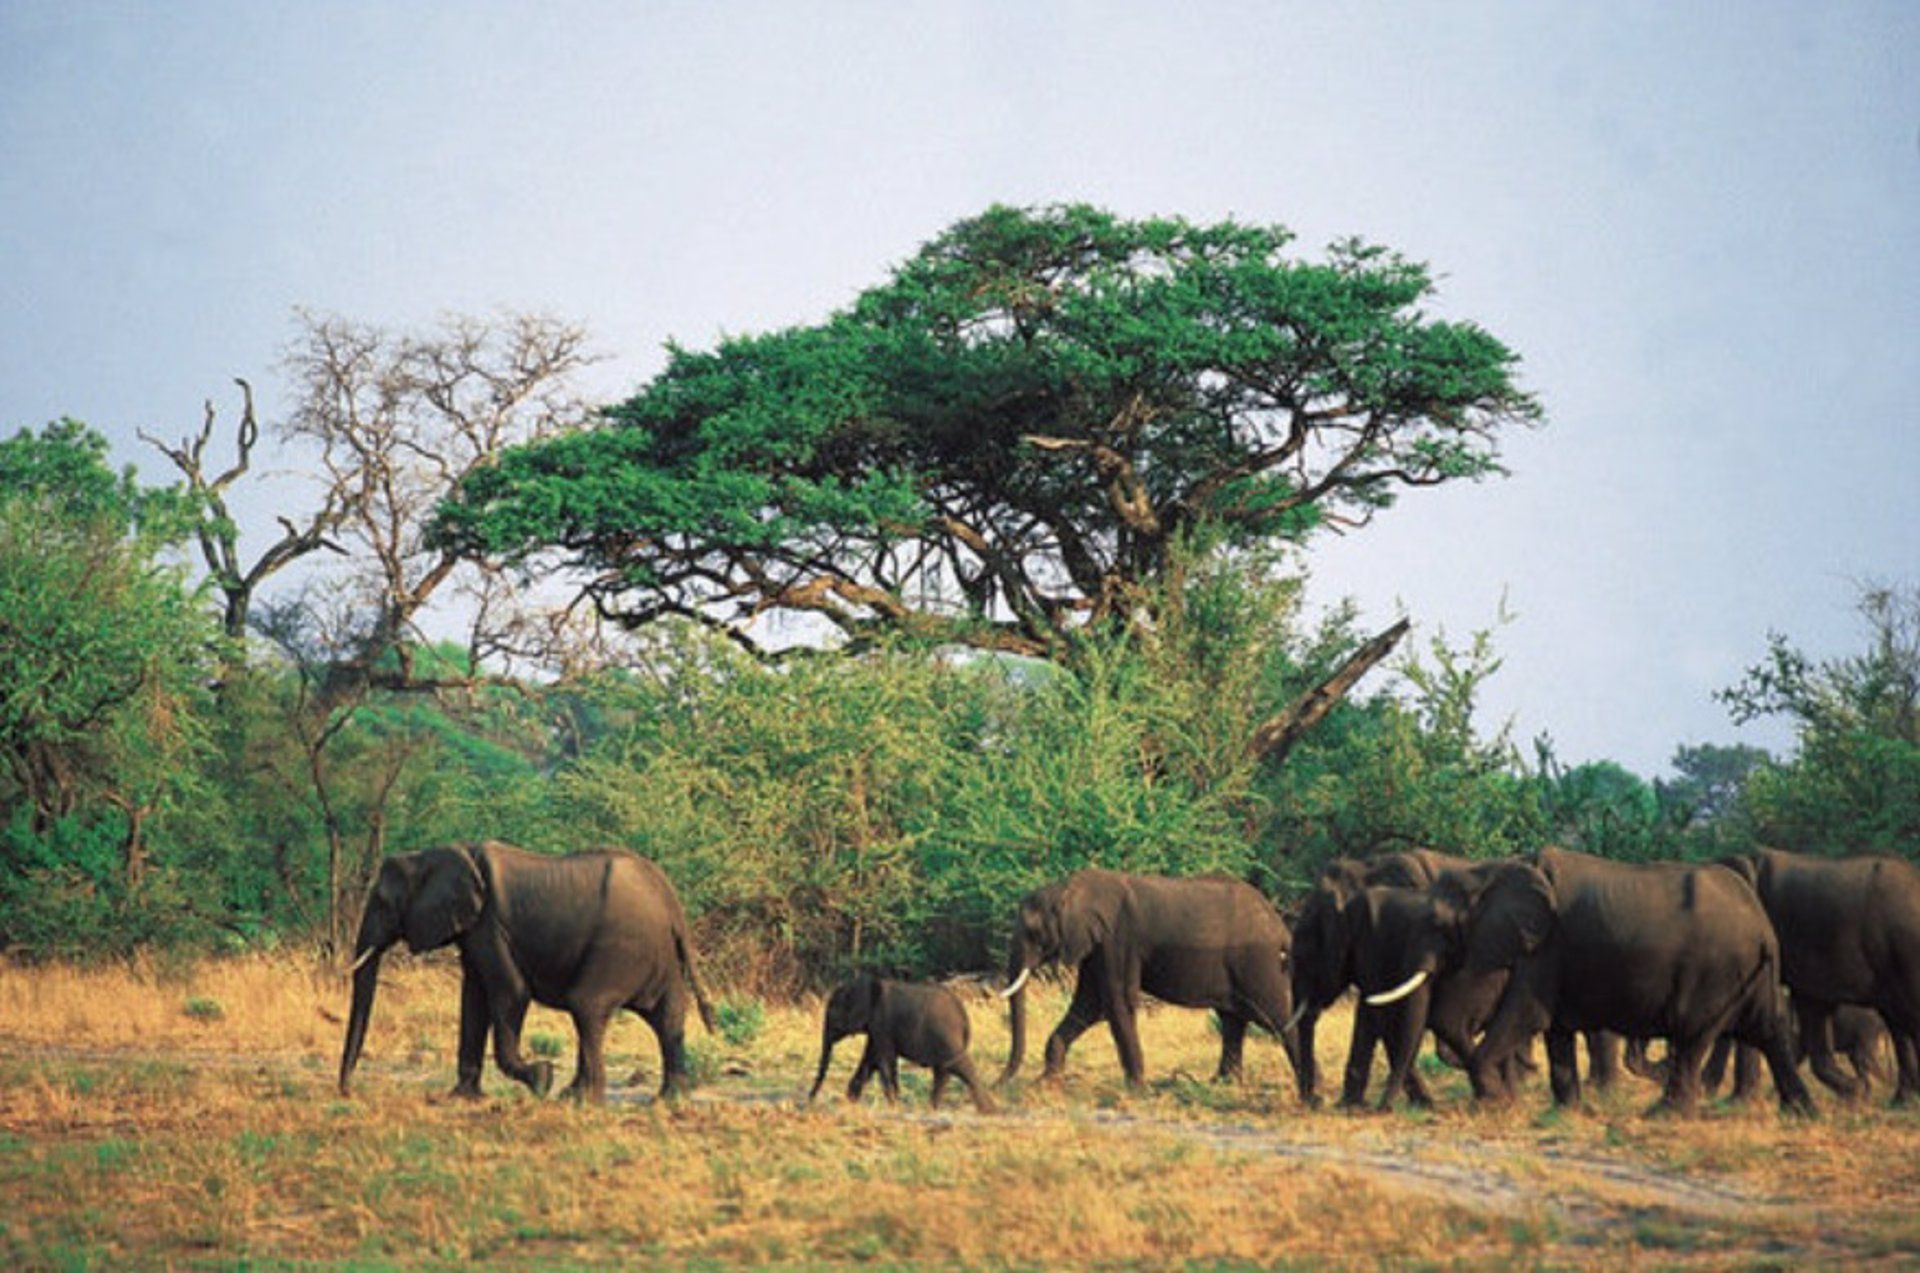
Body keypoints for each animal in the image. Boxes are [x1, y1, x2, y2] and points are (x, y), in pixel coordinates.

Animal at [334, 840, 718, 1098]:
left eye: (383, 903)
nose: (348, 1092)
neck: (447, 852)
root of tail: (670, 900)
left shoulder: (490, 926)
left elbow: (509, 993)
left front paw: (540, 1080)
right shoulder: (475, 930)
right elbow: (473, 998)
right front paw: (463, 1098)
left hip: (622, 946)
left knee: (587, 1005)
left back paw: (577, 1099)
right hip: (657, 953)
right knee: (667, 1016)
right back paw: (667, 1101)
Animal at [806, 975, 998, 1113]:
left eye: (832, 1012)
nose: (809, 1100)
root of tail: (963, 1014)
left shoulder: (882, 1023)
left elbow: (883, 1060)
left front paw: (894, 1106)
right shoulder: (876, 1028)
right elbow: (870, 1060)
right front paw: (850, 1101)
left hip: (946, 1037)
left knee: (960, 1067)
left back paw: (988, 1111)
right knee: (943, 1072)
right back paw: (934, 1109)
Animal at [990, 871, 1305, 1090]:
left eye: (1034, 932)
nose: (997, 1085)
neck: (1069, 887)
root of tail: (1279, 925)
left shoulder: (1118, 940)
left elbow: (1116, 1002)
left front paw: (1137, 1089)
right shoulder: (1097, 947)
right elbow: (1088, 1004)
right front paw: (1046, 1083)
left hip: (1256, 960)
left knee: (1276, 1015)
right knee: (1232, 1021)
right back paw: (1220, 1084)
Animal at [1466, 856, 1812, 1113]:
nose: (1509, 1097)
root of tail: (1763, 927)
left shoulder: (1545, 950)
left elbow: (1529, 1014)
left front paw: (1493, 1105)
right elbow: (1554, 1027)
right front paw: (1565, 1112)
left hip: (1715, 970)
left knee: (1693, 1032)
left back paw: (1664, 1115)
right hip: (1746, 972)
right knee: (1768, 1028)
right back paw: (1801, 1112)